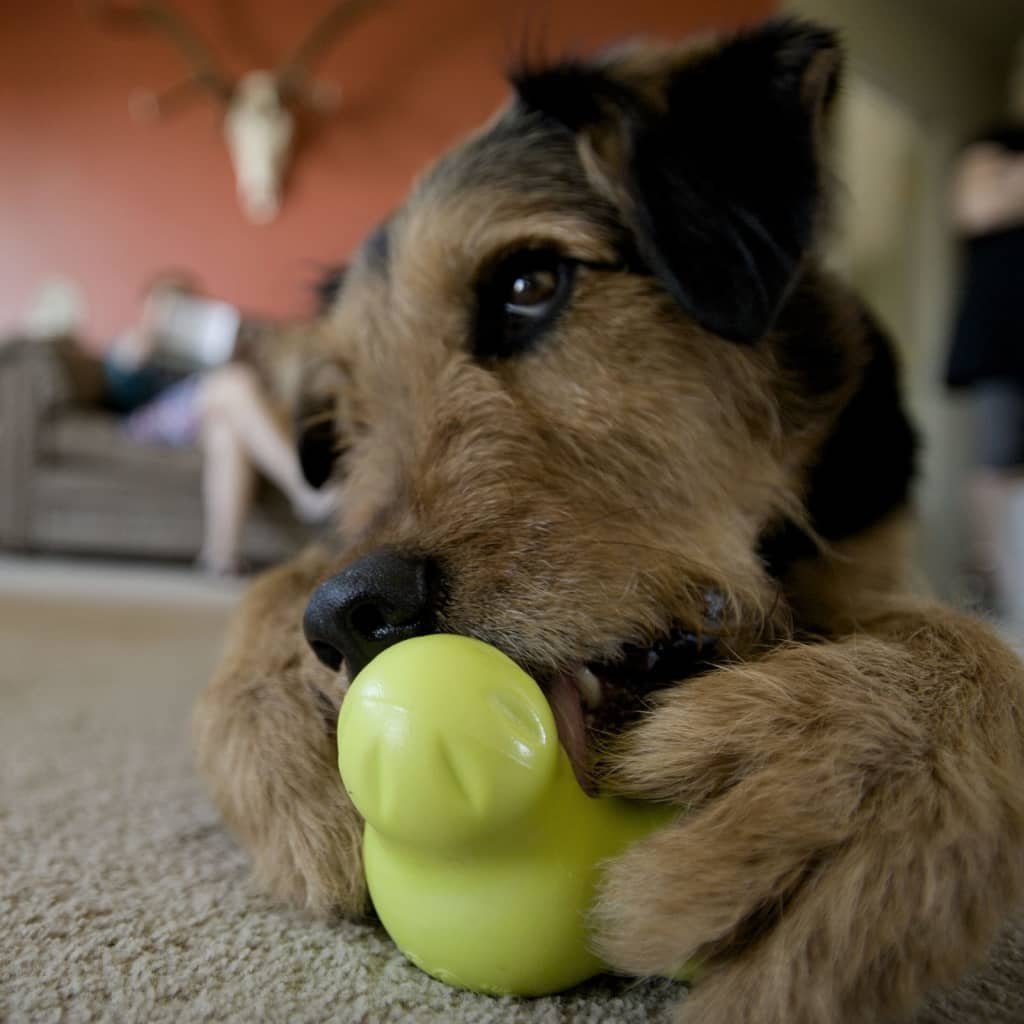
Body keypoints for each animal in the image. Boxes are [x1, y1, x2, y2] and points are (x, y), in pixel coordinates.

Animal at [195, 18, 1024, 1024]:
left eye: (530, 283)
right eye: (346, 415)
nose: (351, 616)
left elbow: (968, 645)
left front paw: (863, 777)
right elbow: (275, 581)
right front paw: (275, 729)